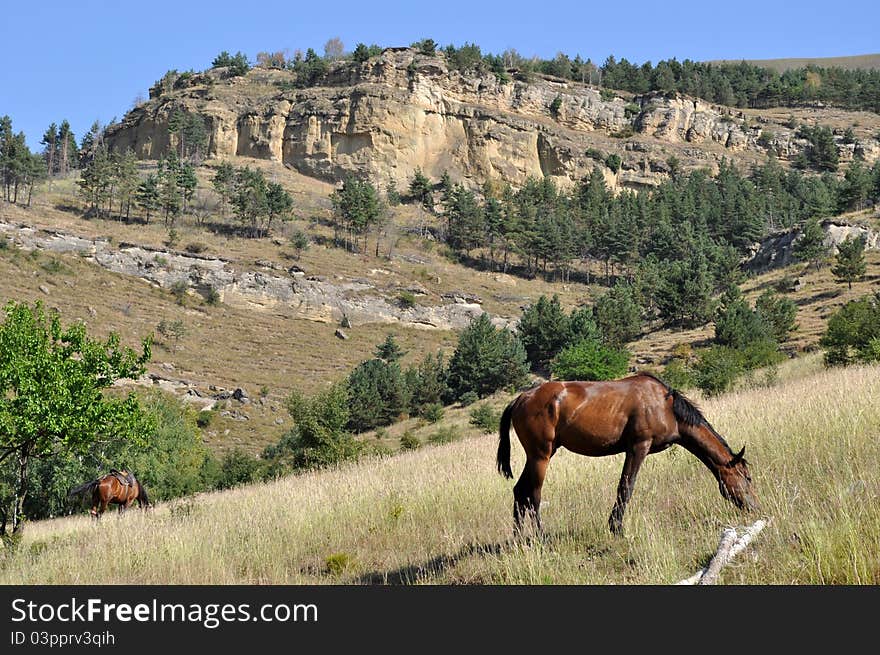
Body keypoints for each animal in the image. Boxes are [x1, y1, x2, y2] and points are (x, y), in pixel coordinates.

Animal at [498, 374, 760, 540]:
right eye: (747, 478)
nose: (755, 507)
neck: (666, 407)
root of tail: (520, 399)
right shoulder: (638, 447)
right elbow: (626, 486)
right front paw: (617, 528)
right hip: (541, 456)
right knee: (533, 495)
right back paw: (541, 537)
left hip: (538, 456)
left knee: (520, 492)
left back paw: (519, 539)